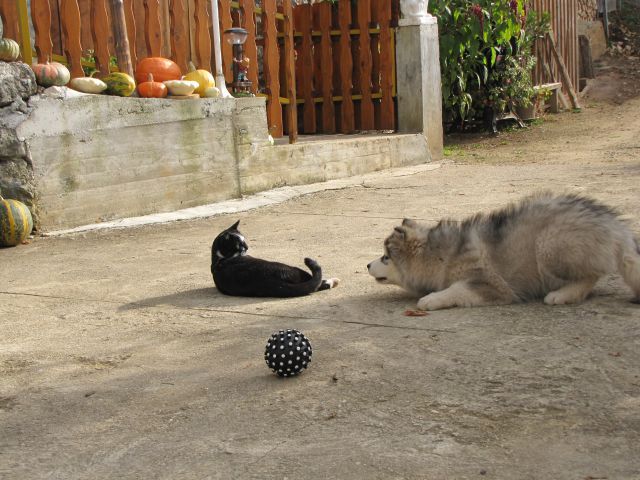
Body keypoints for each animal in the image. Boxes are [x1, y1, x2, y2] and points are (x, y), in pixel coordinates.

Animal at [211, 221, 340, 296]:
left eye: (245, 240)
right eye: (240, 245)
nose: (247, 247)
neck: (220, 258)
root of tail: (270, 281)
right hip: (295, 270)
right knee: (315, 284)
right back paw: (333, 281)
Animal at [368, 192, 636, 312]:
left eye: (385, 257)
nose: (367, 265)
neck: (442, 255)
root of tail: (616, 226)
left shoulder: (492, 285)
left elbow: (456, 289)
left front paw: (431, 299)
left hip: (549, 245)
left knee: (591, 276)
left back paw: (563, 294)